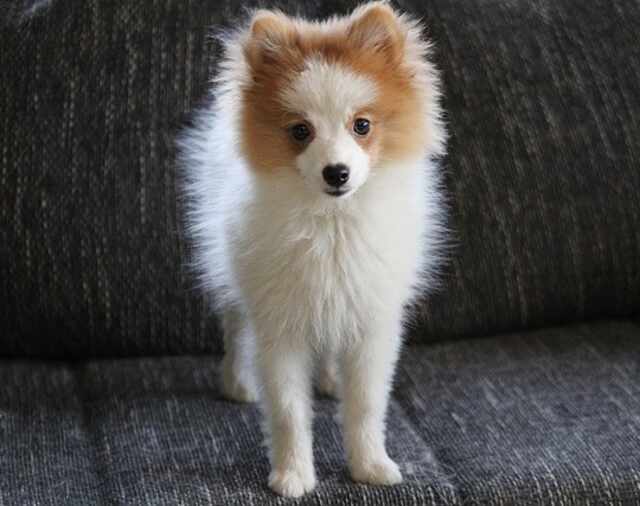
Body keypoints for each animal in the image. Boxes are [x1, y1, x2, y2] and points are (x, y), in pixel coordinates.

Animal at [181, 0, 444, 498]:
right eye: (300, 131)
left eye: (362, 125)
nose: (336, 172)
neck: (331, 222)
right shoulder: (279, 321)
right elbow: (287, 408)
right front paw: (292, 475)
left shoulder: (371, 317)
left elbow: (366, 404)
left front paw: (370, 465)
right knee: (235, 327)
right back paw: (238, 381)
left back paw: (330, 380)